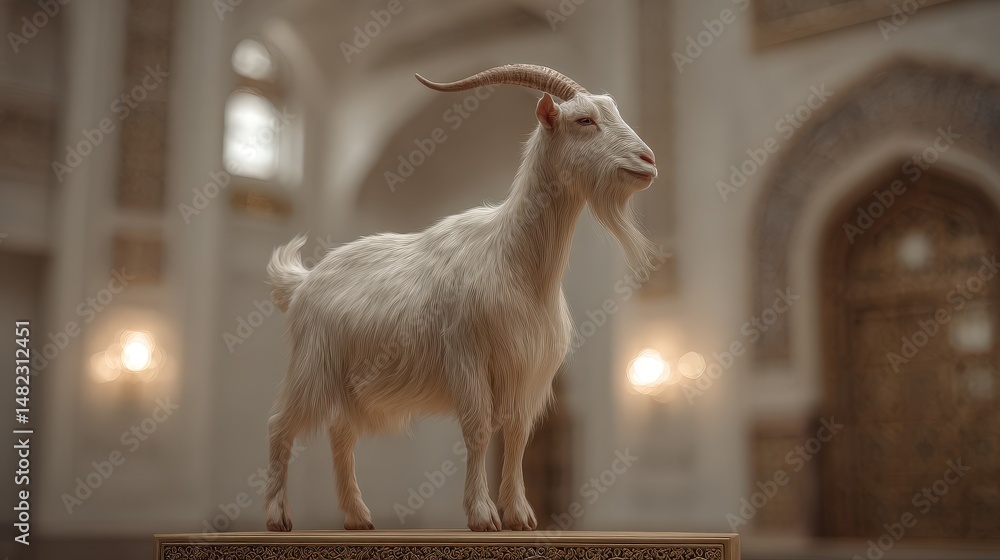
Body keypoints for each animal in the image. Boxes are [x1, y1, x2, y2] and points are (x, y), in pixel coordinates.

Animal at [264, 64, 657, 532]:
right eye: (584, 120)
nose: (648, 161)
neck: (512, 255)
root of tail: (303, 282)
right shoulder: (467, 356)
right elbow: (478, 429)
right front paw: (483, 515)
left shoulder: (525, 368)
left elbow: (518, 435)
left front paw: (520, 515)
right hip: (312, 366)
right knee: (280, 426)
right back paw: (278, 516)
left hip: (350, 384)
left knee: (340, 435)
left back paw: (358, 517)